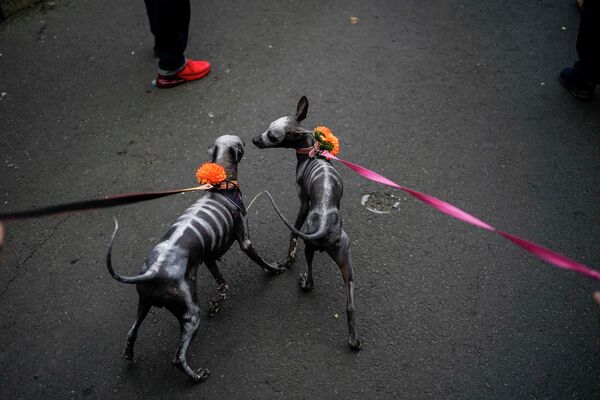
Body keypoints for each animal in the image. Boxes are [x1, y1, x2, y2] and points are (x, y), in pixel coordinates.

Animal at [106, 134, 284, 382]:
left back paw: (129, 353)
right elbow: (261, 261)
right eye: (241, 143)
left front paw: (217, 304)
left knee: (131, 333)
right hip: (190, 315)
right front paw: (277, 268)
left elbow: (222, 284)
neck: (221, 186)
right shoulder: (245, 242)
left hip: (144, 304)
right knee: (177, 357)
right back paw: (197, 375)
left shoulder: (208, 259)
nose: (250, 140)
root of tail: (154, 271)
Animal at [250, 97, 358, 350]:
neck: (313, 153)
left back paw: (304, 282)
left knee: (310, 278)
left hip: (311, 248)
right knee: (350, 304)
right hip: (347, 262)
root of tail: (326, 227)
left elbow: (293, 234)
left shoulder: (302, 202)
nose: (254, 140)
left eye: (272, 136)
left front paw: (289, 257)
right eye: (267, 129)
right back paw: (353, 339)